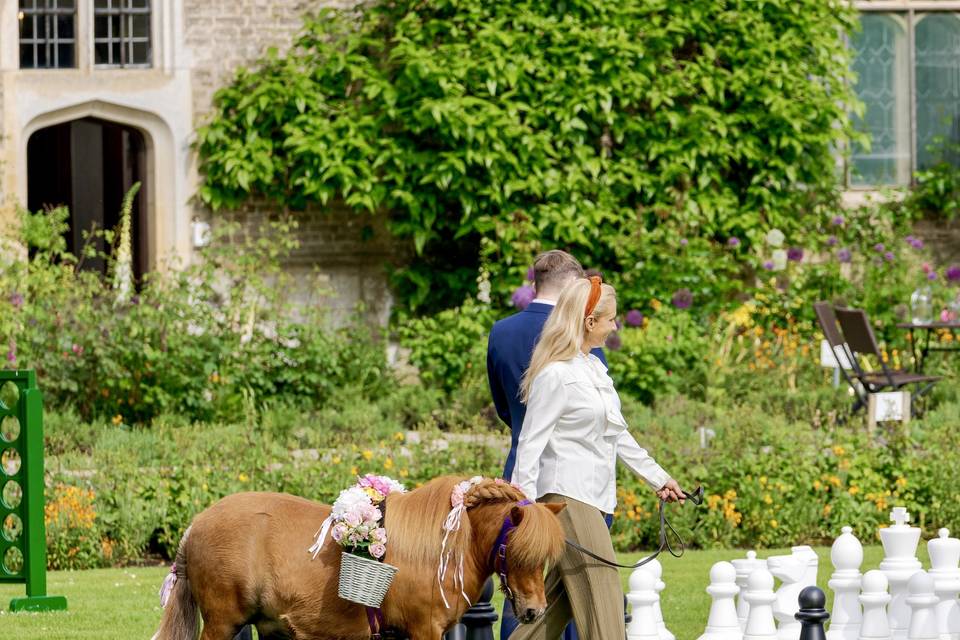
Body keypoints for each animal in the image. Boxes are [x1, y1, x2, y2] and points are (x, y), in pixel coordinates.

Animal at [154, 476, 568, 640]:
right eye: (516, 552)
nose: (534, 610)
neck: (445, 545)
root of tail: (195, 525)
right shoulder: (424, 631)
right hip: (223, 624)